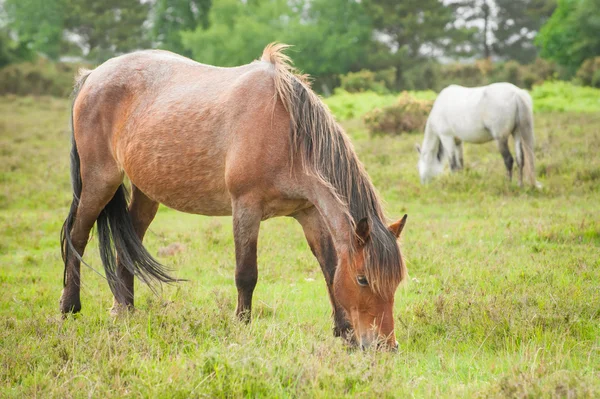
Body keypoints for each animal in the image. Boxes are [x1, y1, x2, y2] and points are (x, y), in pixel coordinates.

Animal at [61, 44, 408, 350]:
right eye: (363, 280)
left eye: (396, 282)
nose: (385, 346)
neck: (288, 134)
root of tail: (92, 76)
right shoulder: (245, 207)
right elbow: (246, 274)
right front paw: (242, 326)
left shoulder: (309, 212)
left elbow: (329, 266)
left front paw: (344, 332)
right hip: (100, 182)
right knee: (77, 236)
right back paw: (69, 308)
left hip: (146, 193)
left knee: (127, 246)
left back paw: (125, 311)